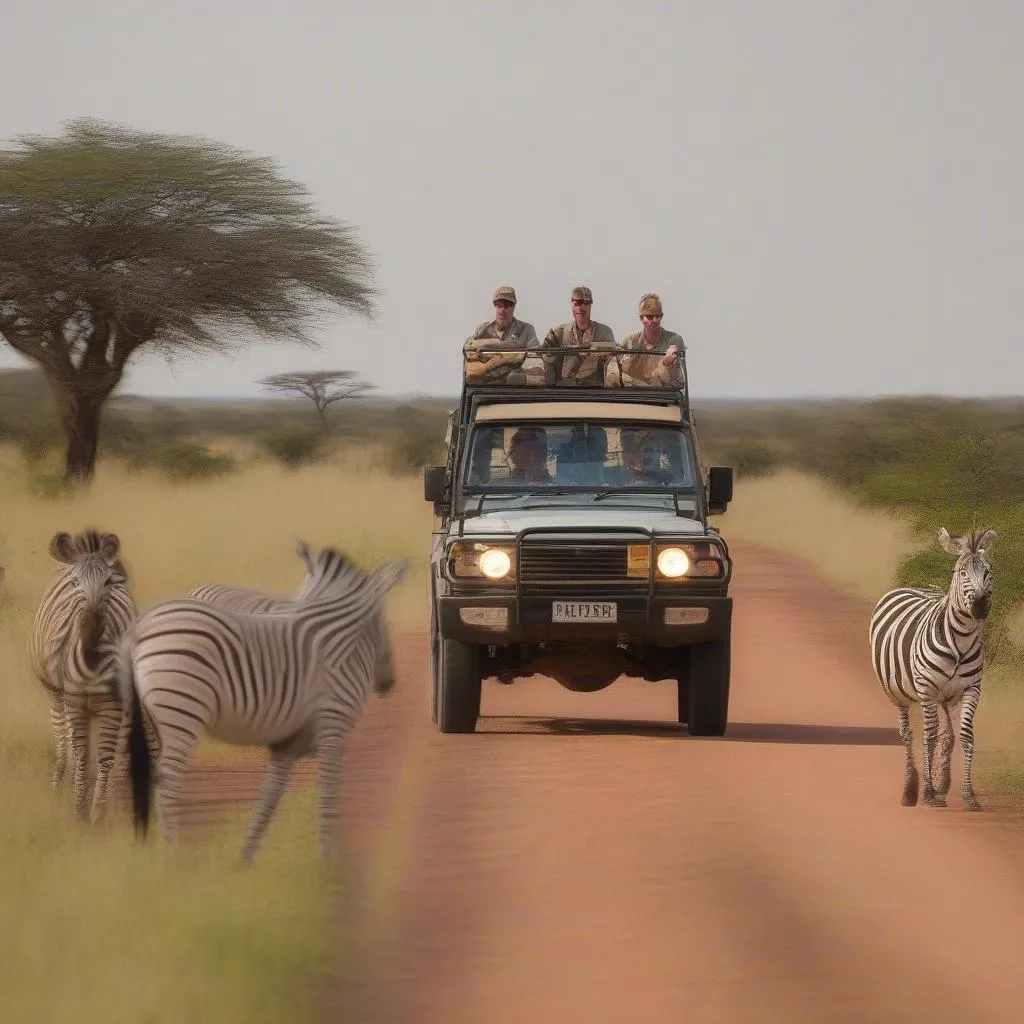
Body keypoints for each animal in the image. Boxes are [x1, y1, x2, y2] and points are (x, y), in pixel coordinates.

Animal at [28, 532, 138, 819]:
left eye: (108, 582)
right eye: (75, 582)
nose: (91, 628)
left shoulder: (112, 705)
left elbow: (105, 757)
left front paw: (98, 812)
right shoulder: (74, 702)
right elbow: (81, 755)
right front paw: (79, 810)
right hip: (56, 693)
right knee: (62, 736)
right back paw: (59, 782)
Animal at [119, 540, 407, 868]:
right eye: (383, 618)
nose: (388, 683)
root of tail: (138, 630)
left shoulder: (287, 743)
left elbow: (271, 795)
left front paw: (245, 859)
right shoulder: (333, 727)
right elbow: (328, 790)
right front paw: (326, 857)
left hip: (149, 718)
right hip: (183, 710)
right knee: (167, 780)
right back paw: (172, 860)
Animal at [868, 528, 995, 806]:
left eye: (989, 571)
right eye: (961, 572)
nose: (980, 606)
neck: (960, 641)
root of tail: (920, 587)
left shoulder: (972, 689)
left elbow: (965, 736)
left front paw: (967, 795)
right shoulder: (926, 688)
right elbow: (929, 735)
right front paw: (926, 792)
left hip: (944, 697)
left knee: (947, 733)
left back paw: (942, 784)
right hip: (899, 695)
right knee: (909, 734)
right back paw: (911, 789)